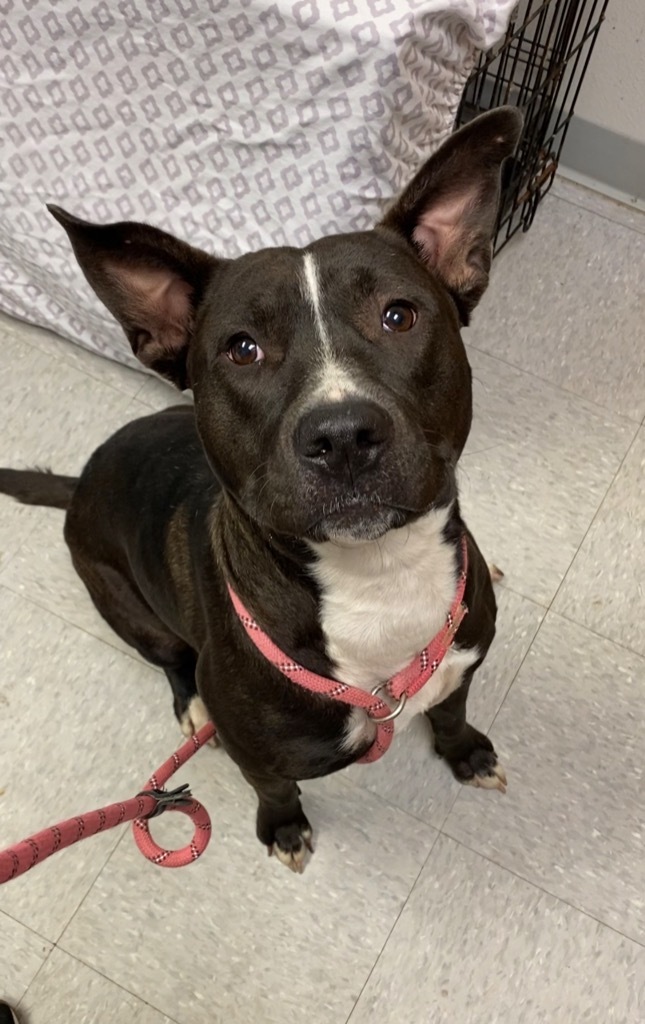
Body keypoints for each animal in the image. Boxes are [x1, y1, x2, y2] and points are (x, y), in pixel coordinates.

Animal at [0, 105, 524, 872]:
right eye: (241, 349)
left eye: (398, 315)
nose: (342, 435)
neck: (378, 577)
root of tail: (83, 478)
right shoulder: (263, 756)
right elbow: (275, 787)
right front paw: (284, 827)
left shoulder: (461, 664)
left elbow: (453, 711)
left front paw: (466, 754)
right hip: (125, 604)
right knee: (172, 659)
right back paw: (191, 705)